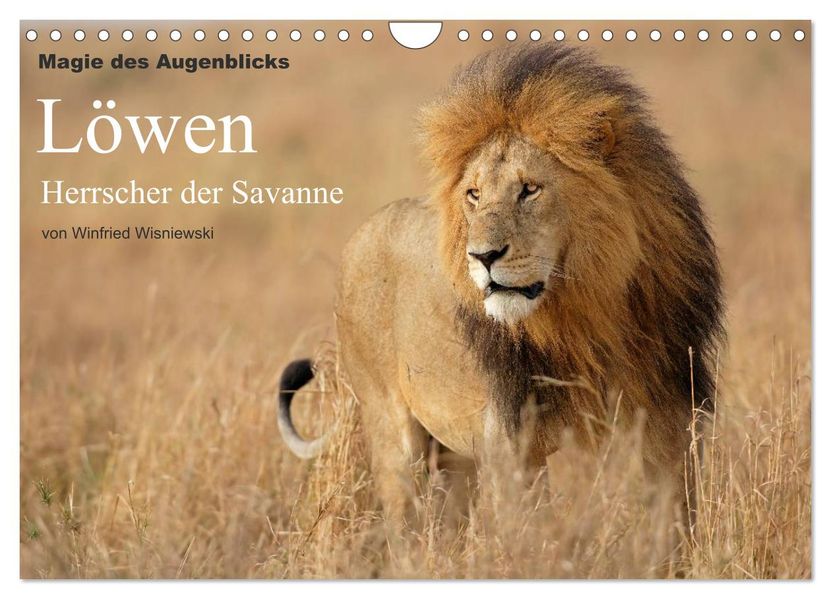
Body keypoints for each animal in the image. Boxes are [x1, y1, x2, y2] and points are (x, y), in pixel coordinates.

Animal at [277, 43, 724, 528]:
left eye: (529, 189)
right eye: (473, 194)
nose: (483, 256)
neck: (588, 313)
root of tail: (360, 234)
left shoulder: (668, 423)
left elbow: (673, 524)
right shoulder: (511, 445)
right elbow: (532, 535)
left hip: (456, 456)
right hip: (393, 432)